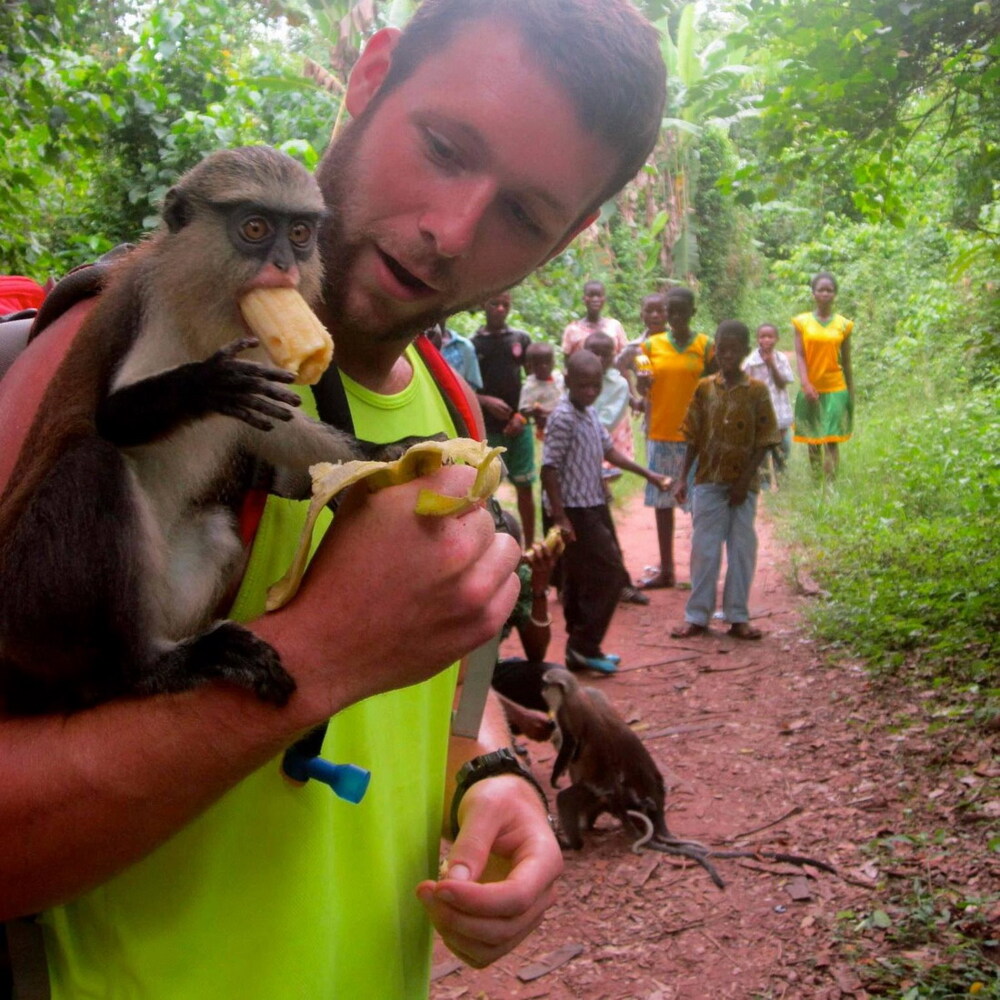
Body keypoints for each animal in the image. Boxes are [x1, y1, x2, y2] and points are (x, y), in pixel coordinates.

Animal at [0, 145, 372, 716]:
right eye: (256, 228)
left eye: (300, 233)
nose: (284, 266)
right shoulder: (156, 309)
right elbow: (111, 421)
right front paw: (208, 384)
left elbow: (274, 426)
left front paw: (387, 452)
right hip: (30, 612)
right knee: (92, 460)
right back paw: (151, 666)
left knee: (215, 530)